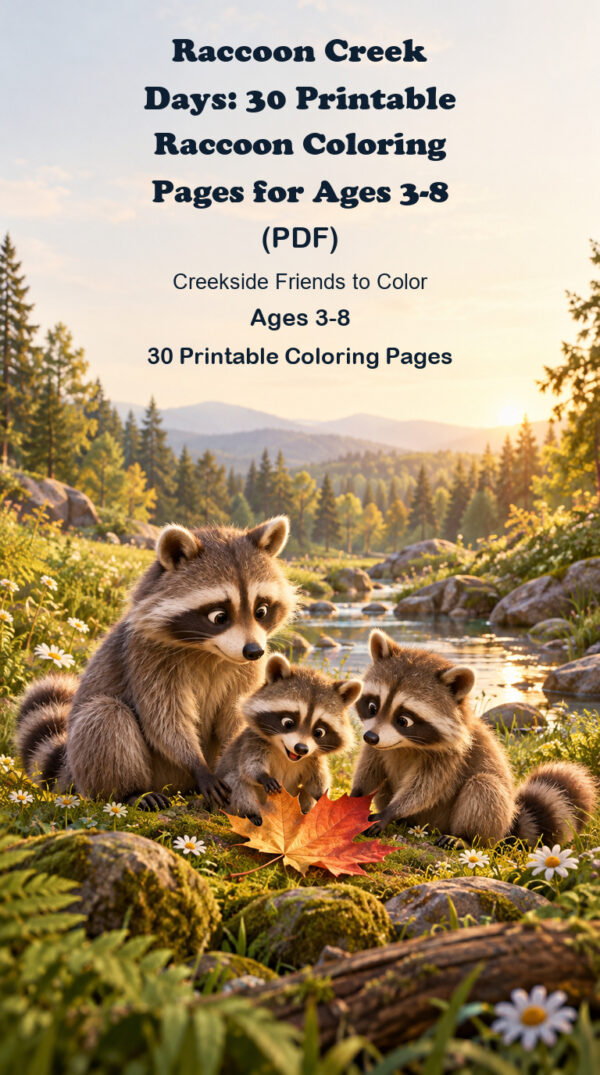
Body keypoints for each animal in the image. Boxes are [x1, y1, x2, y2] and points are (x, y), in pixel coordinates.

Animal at [16, 517, 296, 810]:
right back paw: (129, 792)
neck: (209, 651)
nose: (253, 651)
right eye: (219, 616)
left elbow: (238, 715)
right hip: (94, 767)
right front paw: (195, 762)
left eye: (261, 611)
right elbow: (164, 718)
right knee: (106, 717)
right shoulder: (146, 656)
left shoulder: (249, 668)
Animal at [217, 654, 361, 825]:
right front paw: (263, 776)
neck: (287, 756)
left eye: (319, 732)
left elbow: (316, 781)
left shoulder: (313, 759)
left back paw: (306, 812)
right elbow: (249, 767)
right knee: (237, 782)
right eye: (288, 723)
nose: (301, 749)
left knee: (304, 792)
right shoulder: (254, 742)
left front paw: (323, 796)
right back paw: (251, 814)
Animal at [351, 629, 596, 845]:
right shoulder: (378, 748)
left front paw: (391, 811)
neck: (404, 744)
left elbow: (424, 789)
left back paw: (466, 838)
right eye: (372, 707)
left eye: (404, 720)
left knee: (484, 787)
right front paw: (354, 799)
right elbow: (369, 770)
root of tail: (510, 824)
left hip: (491, 819)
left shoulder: (451, 757)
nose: (371, 737)